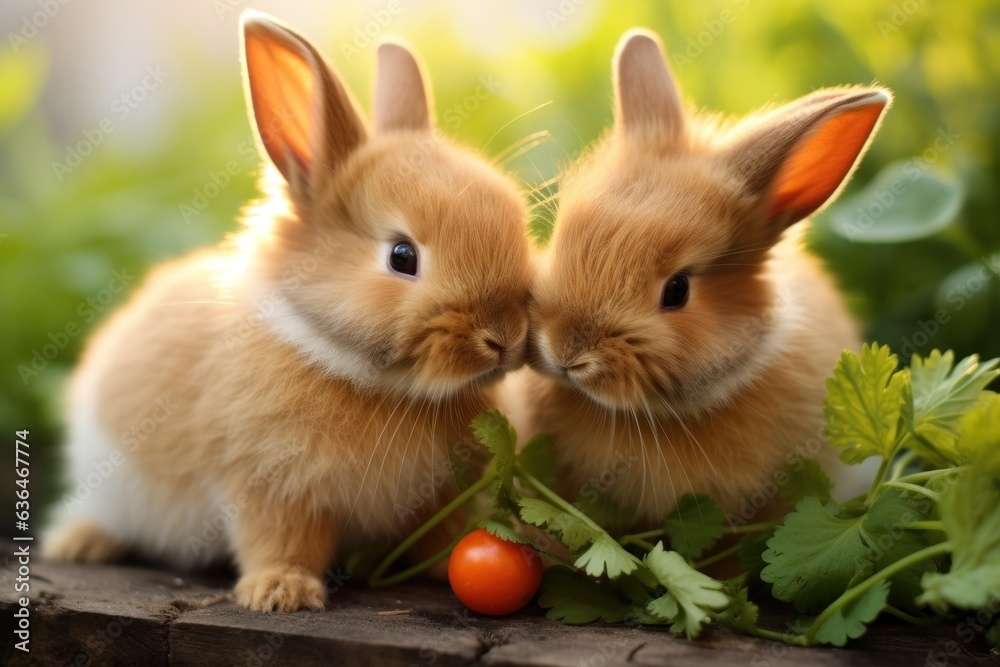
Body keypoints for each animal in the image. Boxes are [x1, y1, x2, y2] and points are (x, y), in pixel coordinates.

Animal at [43, 11, 536, 616]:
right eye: (402, 257)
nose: (504, 339)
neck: (372, 380)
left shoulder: (438, 496)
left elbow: (441, 536)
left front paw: (446, 568)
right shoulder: (272, 485)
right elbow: (280, 539)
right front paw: (281, 593)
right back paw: (78, 543)